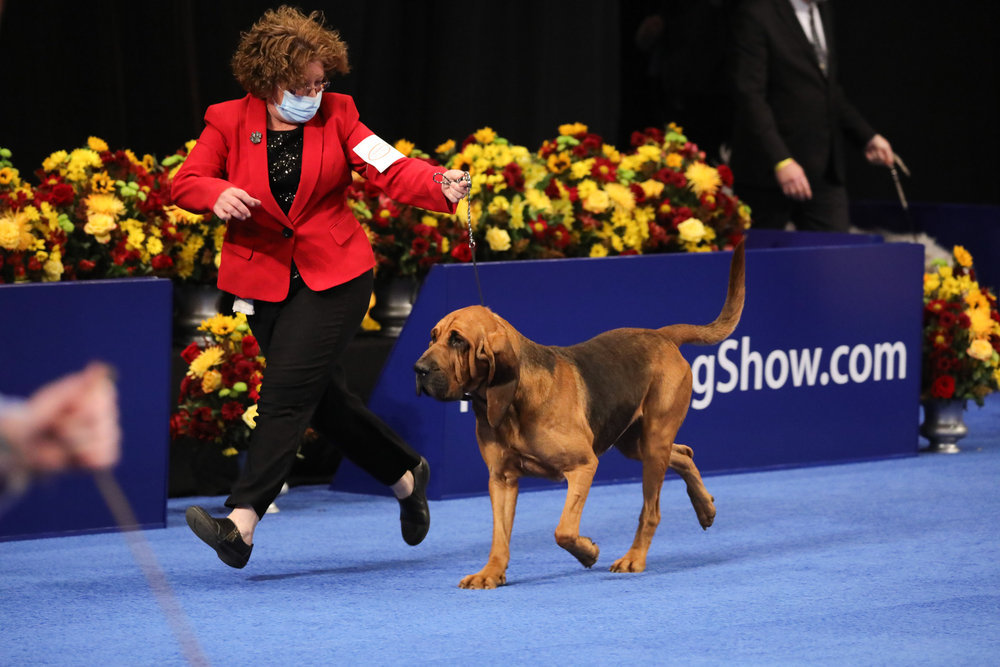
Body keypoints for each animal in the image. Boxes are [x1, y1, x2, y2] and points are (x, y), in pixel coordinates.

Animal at [412, 243, 744, 588]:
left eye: (458, 341)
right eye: (433, 336)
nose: (418, 369)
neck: (513, 401)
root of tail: (661, 335)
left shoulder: (583, 466)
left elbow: (564, 531)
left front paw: (587, 552)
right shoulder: (501, 479)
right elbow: (499, 536)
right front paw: (491, 572)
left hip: (654, 441)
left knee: (651, 510)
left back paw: (634, 558)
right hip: (635, 442)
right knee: (684, 454)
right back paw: (705, 508)